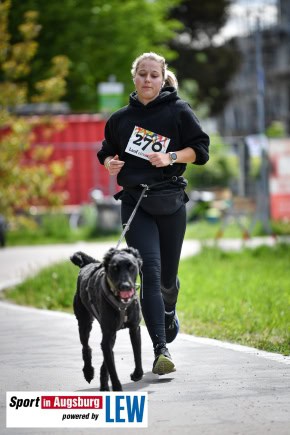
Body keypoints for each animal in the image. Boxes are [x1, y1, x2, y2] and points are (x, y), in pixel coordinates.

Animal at [71, 247, 144, 394]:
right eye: (114, 268)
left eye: (132, 267)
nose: (125, 286)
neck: (122, 305)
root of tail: (88, 264)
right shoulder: (108, 333)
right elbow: (112, 367)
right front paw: (117, 388)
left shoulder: (134, 329)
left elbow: (137, 353)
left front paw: (137, 374)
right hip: (85, 323)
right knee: (86, 347)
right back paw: (88, 372)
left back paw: (103, 385)